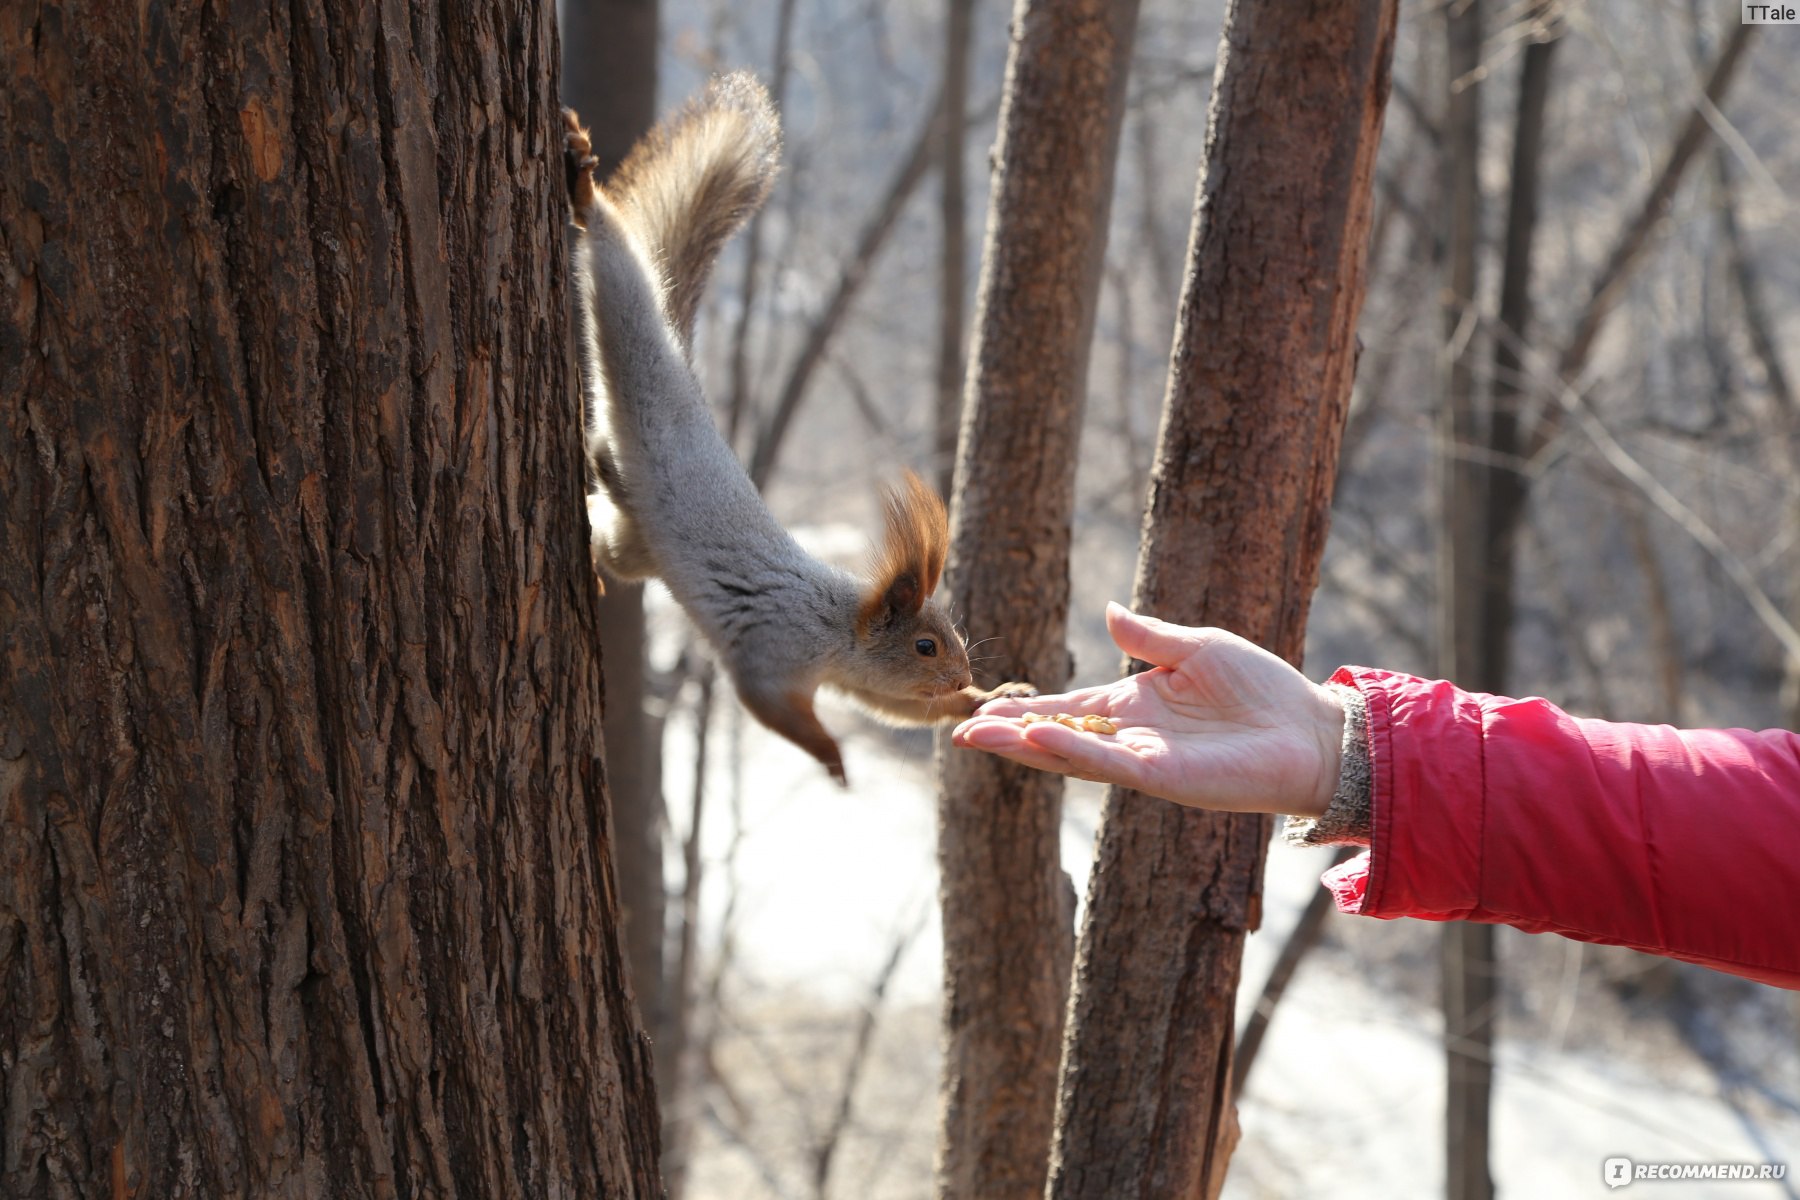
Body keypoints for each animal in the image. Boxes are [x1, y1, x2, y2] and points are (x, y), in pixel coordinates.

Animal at [561, 77, 1044, 788]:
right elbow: (771, 708)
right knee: (616, 278)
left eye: (956, 640)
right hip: (636, 359)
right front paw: (834, 758)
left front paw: (993, 696)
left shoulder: (857, 681)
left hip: (635, 542)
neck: (838, 629)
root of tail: (687, 388)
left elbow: (903, 707)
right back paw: (586, 191)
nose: (963, 675)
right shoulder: (773, 653)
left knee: (607, 527)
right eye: (926, 645)